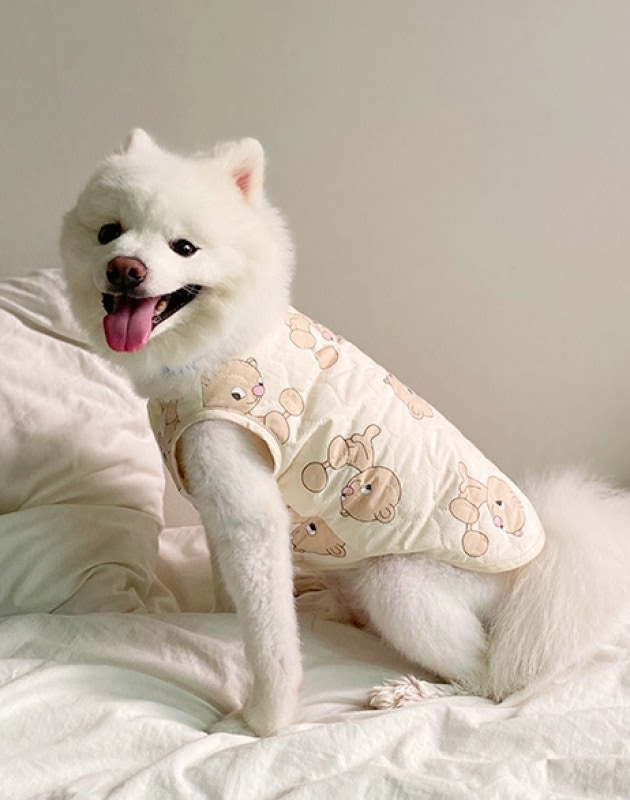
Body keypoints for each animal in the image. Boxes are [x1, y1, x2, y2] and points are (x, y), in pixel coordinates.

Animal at [60, 130, 630, 736]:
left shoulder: (248, 510)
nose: (124, 269)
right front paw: (219, 619)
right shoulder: (215, 504)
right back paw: (326, 606)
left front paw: (261, 720)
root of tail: (534, 566)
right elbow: (230, 593)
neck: (223, 349)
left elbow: (268, 636)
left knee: (486, 679)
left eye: (184, 248)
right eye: (108, 232)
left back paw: (411, 691)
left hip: (400, 580)